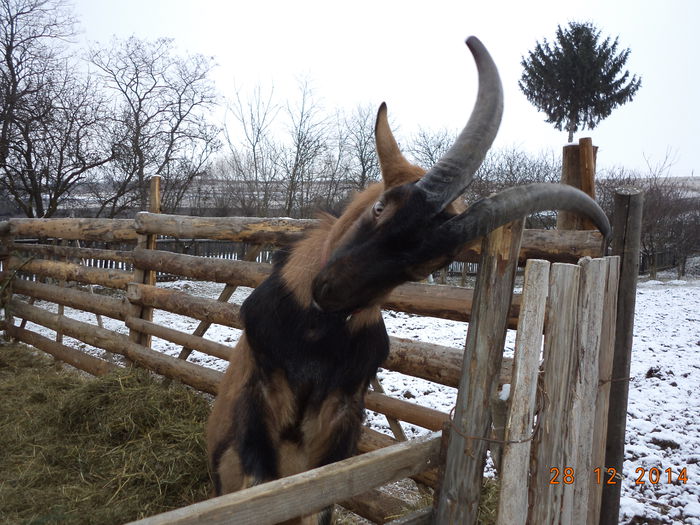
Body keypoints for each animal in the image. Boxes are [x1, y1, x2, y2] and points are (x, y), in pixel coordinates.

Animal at [205, 34, 608, 520]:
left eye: (428, 263)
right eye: (381, 207)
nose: (330, 291)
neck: (313, 340)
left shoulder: (341, 418)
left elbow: (317, 505)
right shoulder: (257, 402)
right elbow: (257, 489)